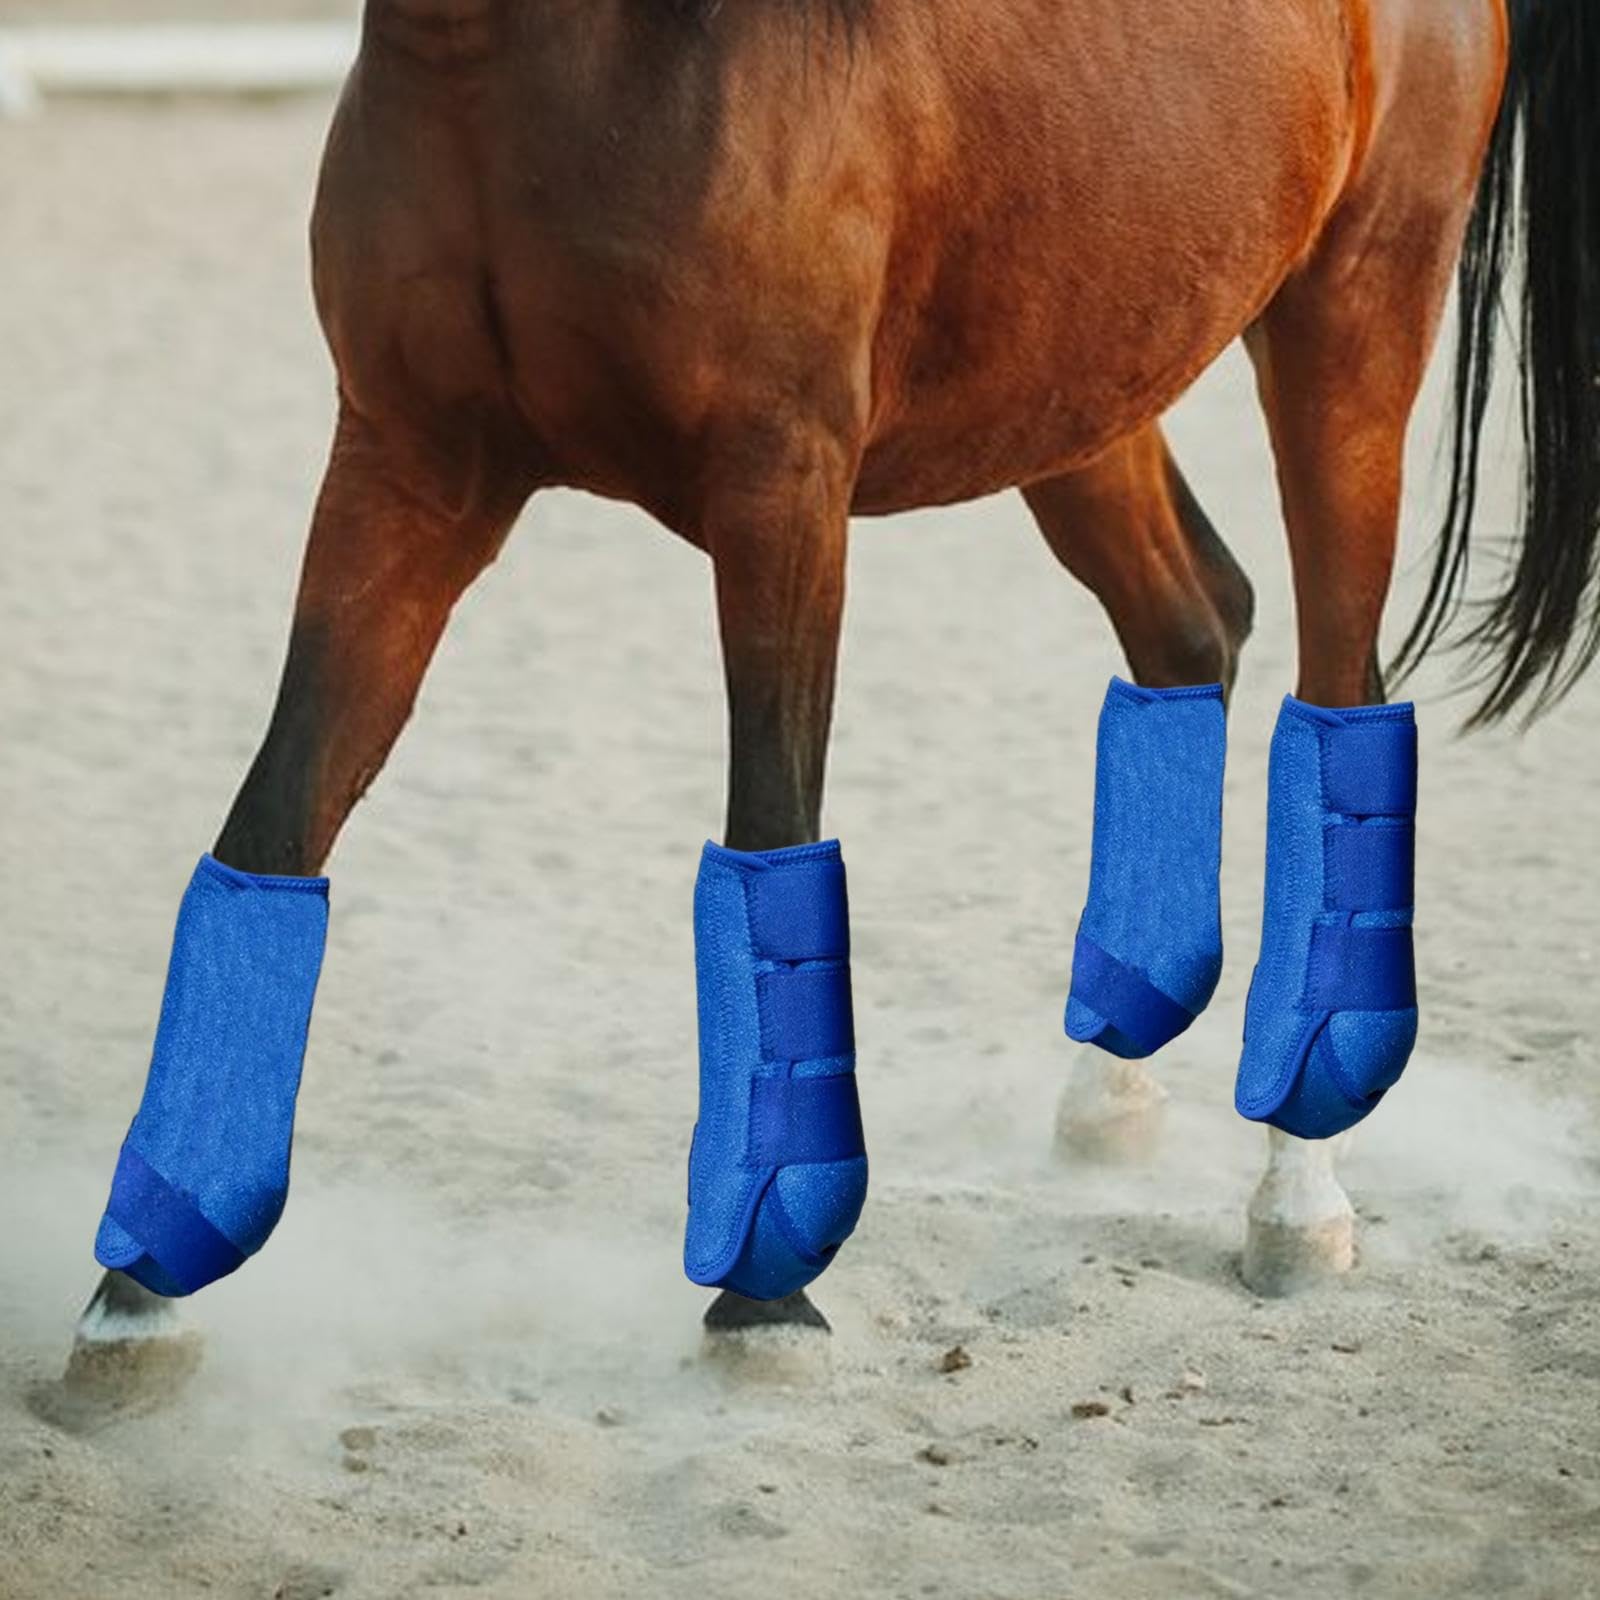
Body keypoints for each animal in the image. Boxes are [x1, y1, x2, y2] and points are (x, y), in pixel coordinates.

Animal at [72, 0, 1600, 1371]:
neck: (539, 59)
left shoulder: (780, 491)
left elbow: (769, 829)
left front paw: (765, 1292)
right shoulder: (408, 465)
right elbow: (276, 822)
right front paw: (142, 1285)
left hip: (1352, 326)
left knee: (1340, 697)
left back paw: (1298, 1193)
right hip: (1086, 381)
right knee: (1192, 629)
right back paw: (1111, 1090)